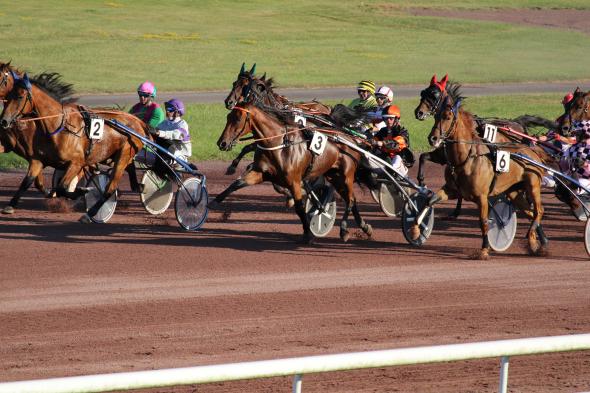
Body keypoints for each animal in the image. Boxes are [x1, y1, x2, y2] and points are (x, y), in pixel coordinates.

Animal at [0, 72, 148, 222]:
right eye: (8, 97)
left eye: (20, 96)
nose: (4, 121)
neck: (59, 125)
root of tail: (137, 121)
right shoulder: (38, 160)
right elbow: (28, 181)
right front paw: (10, 205)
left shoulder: (77, 162)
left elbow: (62, 187)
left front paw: (81, 191)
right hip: (112, 155)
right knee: (129, 168)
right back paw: (138, 186)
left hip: (123, 156)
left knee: (110, 188)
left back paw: (90, 213)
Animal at [217, 101, 374, 242]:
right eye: (228, 117)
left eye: (237, 118)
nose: (221, 143)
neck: (279, 144)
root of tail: (349, 138)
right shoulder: (261, 173)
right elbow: (237, 183)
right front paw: (215, 200)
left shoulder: (294, 181)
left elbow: (299, 207)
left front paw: (307, 233)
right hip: (333, 176)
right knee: (351, 200)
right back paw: (364, 227)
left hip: (346, 176)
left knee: (350, 200)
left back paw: (344, 230)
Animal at [412, 96, 552, 258]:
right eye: (436, 116)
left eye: (447, 117)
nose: (432, 138)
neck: (466, 158)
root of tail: (532, 151)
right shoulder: (451, 190)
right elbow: (430, 200)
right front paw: (415, 230)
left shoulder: (482, 197)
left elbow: (483, 221)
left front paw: (485, 249)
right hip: (514, 191)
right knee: (530, 212)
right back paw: (537, 243)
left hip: (532, 185)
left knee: (539, 211)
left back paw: (532, 236)